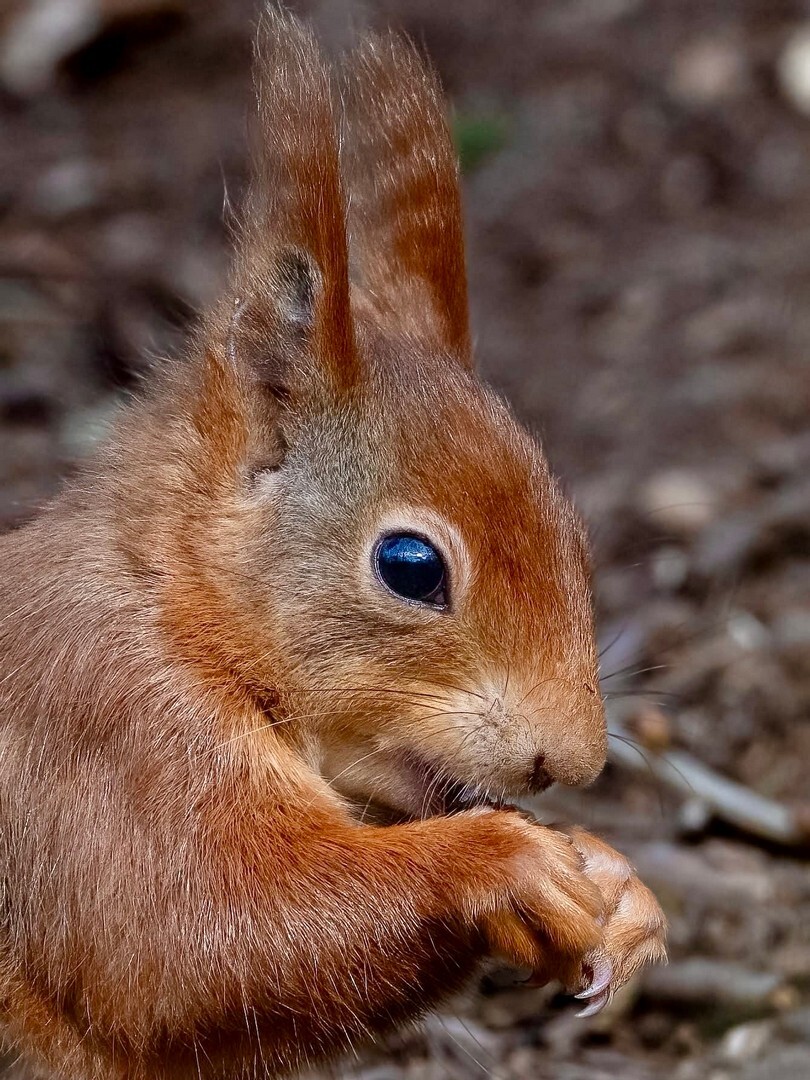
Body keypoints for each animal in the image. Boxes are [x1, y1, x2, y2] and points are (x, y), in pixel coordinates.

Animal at [0, 10, 667, 1080]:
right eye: (411, 567)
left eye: (574, 532)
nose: (573, 764)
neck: (174, 595)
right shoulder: (103, 728)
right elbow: (192, 942)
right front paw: (503, 861)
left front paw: (618, 885)